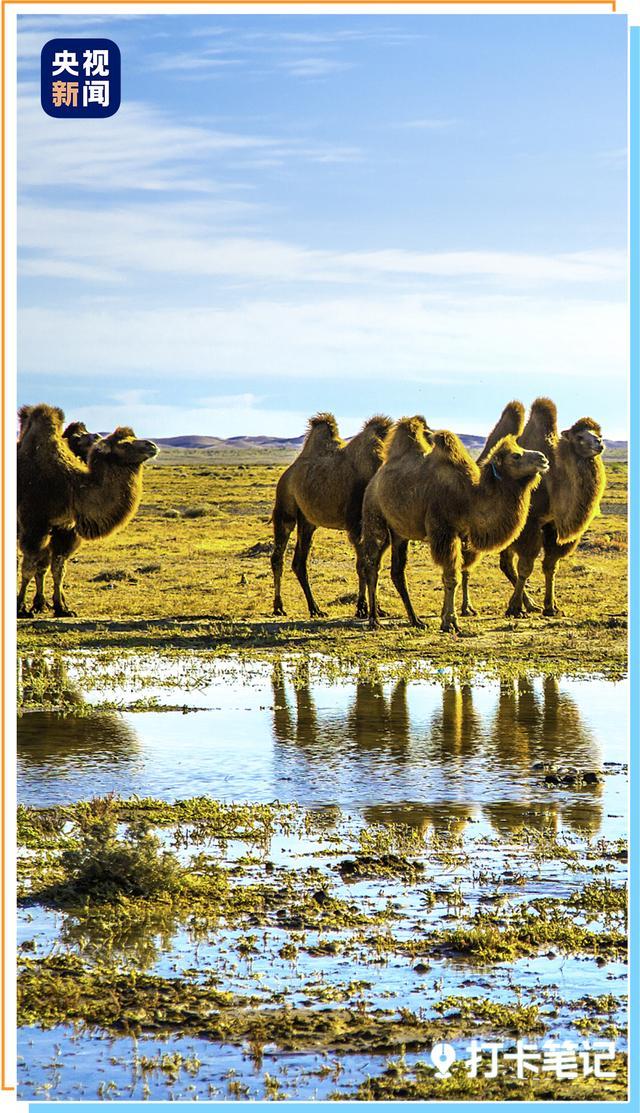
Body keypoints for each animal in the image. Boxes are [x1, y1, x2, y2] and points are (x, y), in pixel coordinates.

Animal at [17, 405, 158, 618]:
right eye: (125, 444)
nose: (152, 445)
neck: (72, 487)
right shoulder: (35, 526)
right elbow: (28, 567)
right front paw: (22, 608)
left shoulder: (64, 530)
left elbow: (57, 569)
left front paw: (61, 608)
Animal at [269, 414, 394, 618]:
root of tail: (288, 472)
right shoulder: (355, 524)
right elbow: (362, 565)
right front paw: (361, 608)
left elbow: (373, 563)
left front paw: (378, 609)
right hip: (285, 511)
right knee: (278, 558)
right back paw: (280, 607)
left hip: (308, 522)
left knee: (299, 562)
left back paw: (314, 608)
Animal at [362, 418, 547, 632]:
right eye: (516, 456)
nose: (543, 458)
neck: (469, 498)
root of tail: (374, 480)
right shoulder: (444, 532)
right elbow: (452, 577)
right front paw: (450, 622)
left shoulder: (462, 535)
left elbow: (456, 574)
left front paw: (447, 616)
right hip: (375, 518)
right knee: (372, 565)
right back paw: (374, 619)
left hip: (400, 533)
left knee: (397, 572)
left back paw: (416, 620)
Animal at [498, 396, 609, 618]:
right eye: (580, 436)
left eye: (599, 434)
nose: (599, 443)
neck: (554, 485)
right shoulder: (530, 523)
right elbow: (526, 567)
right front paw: (515, 608)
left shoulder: (553, 526)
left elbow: (551, 566)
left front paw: (551, 607)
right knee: (506, 562)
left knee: (507, 561)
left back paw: (531, 604)